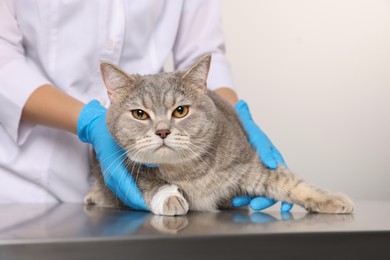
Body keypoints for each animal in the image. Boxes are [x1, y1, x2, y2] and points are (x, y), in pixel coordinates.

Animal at [84, 54, 354, 215]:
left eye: (180, 111)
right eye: (140, 114)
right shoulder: (125, 169)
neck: (188, 172)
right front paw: (169, 197)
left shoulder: (251, 165)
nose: (162, 131)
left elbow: (292, 182)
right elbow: (152, 184)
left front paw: (330, 199)